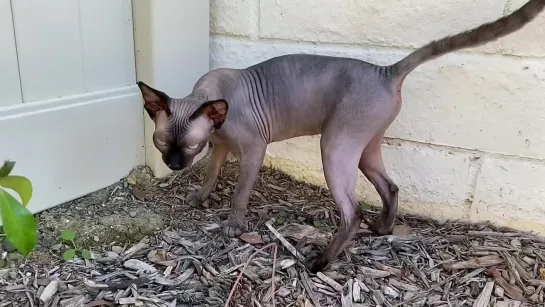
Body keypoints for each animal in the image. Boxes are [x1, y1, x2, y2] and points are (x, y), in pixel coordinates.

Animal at [136, 0, 544, 274]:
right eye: (162, 143)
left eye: (189, 145)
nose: (173, 164)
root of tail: (385, 71)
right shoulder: (220, 147)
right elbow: (211, 174)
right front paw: (199, 197)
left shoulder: (254, 149)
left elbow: (239, 193)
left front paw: (233, 225)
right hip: (363, 148)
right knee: (389, 187)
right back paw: (383, 229)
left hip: (334, 147)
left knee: (352, 212)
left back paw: (321, 261)